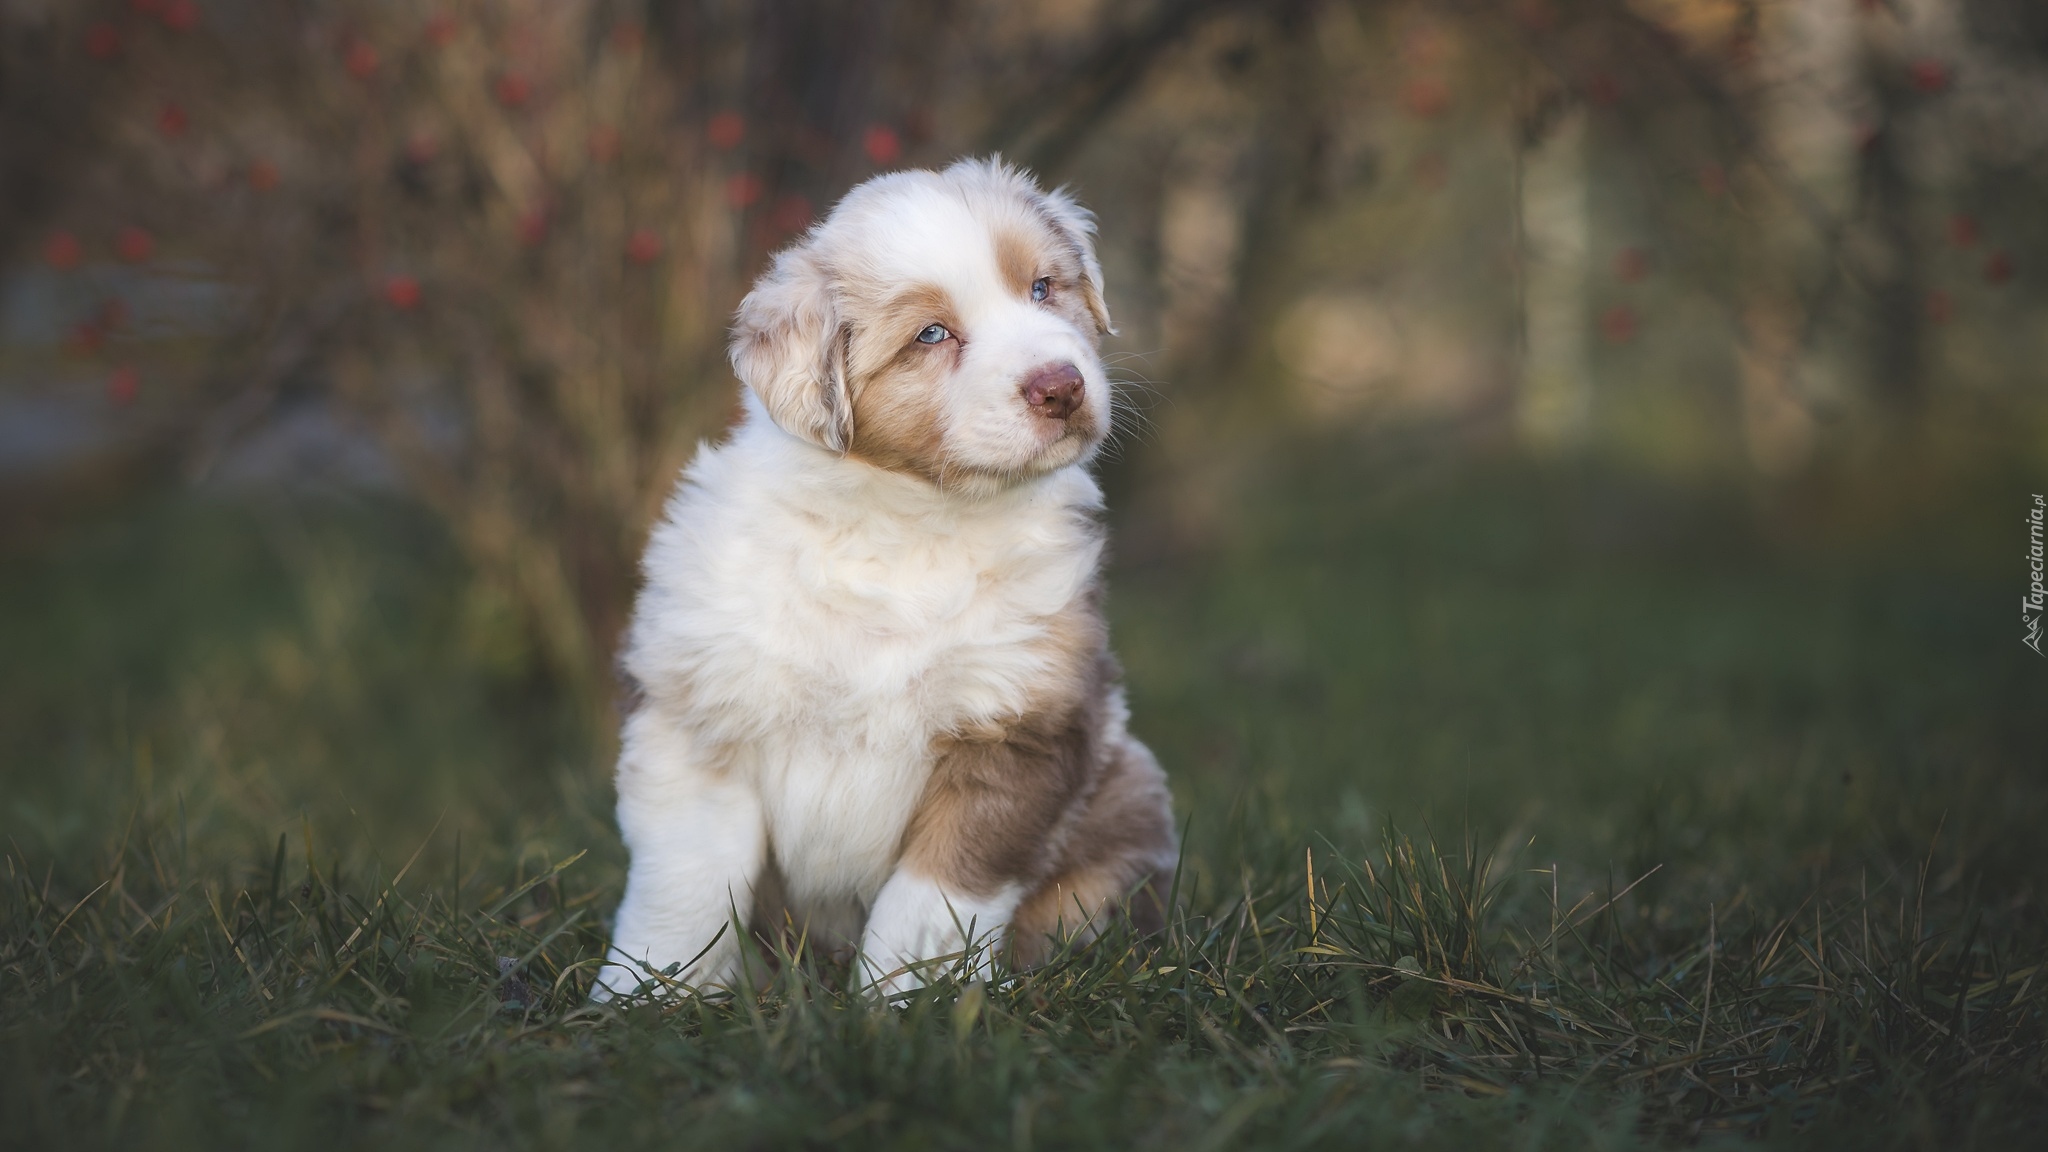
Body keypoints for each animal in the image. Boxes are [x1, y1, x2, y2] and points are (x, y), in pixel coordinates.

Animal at [593, 154, 1179, 996]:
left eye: (1042, 288)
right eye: (931, 334)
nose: (1062, 386)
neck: (910, 522)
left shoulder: (1018, 727)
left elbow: (933, 899)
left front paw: (908, 1003)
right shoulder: (700, 714)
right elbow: (686, 884)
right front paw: (646, 995)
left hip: (1127, 795)